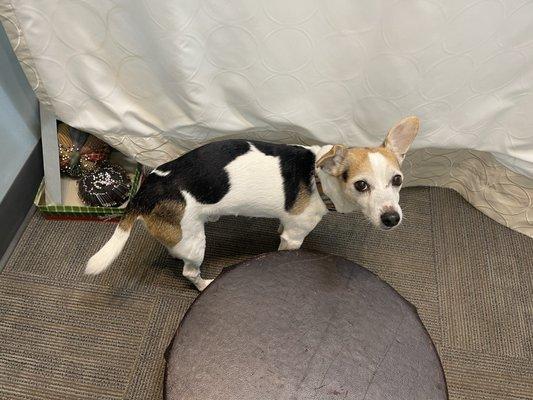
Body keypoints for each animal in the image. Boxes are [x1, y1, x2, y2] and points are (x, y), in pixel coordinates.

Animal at [87, 116, 418, 290]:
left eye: (397, 180)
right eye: (361, 185)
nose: (392, 219)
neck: (318, 178)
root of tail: (147, 189)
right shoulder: (294, 236)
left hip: (183, 233)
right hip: (195, 245)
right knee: (189, 273)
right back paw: (204, 284)